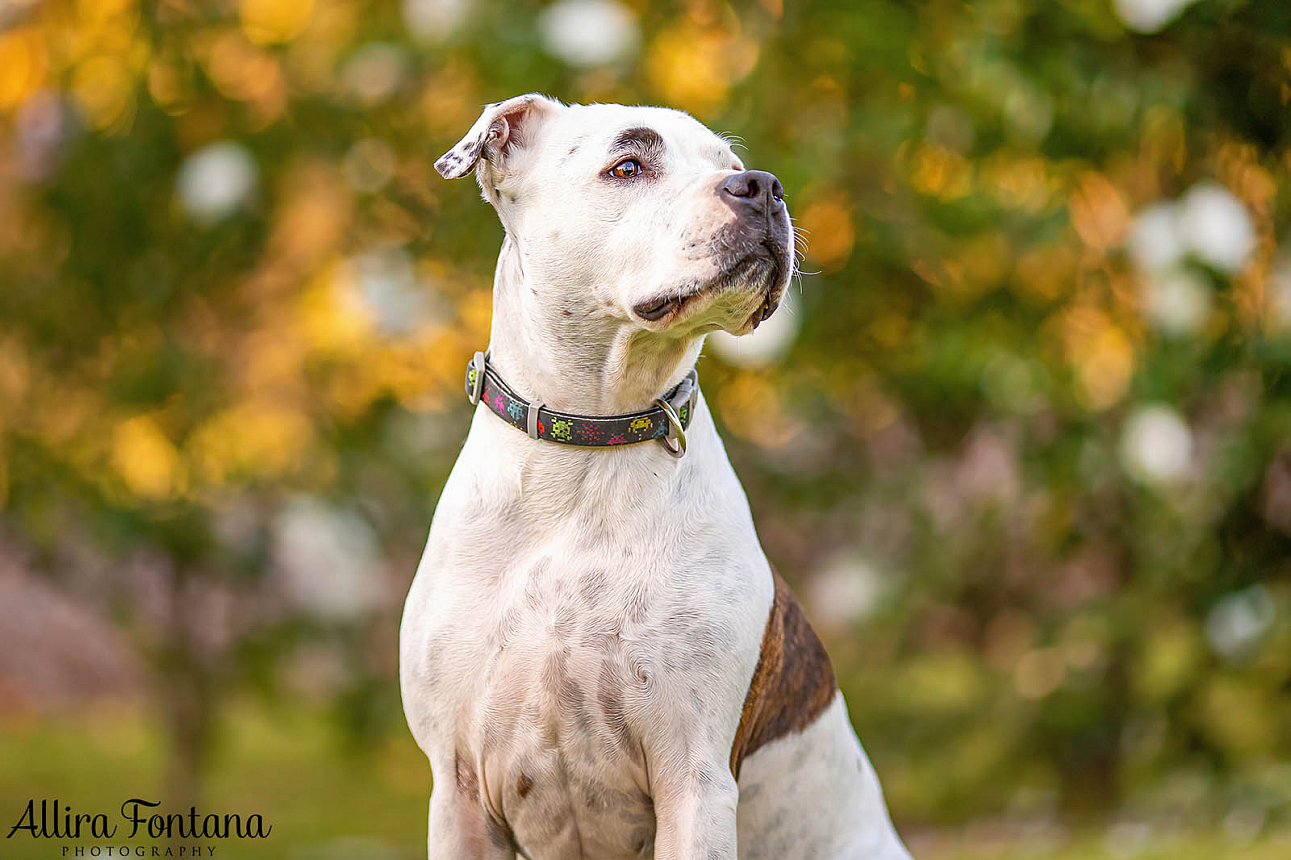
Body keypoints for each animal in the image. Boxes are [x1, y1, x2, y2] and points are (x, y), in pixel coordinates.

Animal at [397, 93, 914, 857]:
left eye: (728, 163)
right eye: (628, 166)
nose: (763, 186)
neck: (585, 445)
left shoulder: (692, 779)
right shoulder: (458, 790)